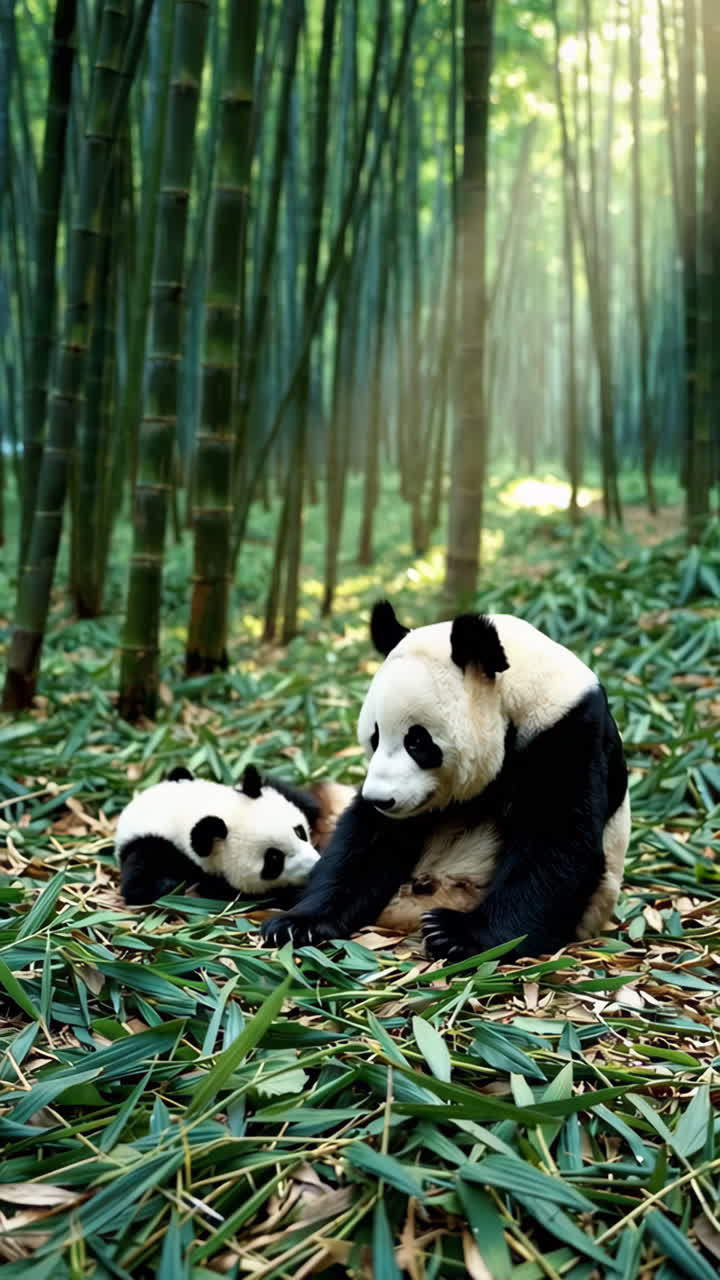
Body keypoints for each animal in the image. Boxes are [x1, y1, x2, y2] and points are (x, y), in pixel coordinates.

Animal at [262, 601, 630, 960]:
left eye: (417, 741)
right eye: (375, 737)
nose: (381, 799)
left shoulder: (569, 733)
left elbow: (556, 843)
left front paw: (457, 934)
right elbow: (366, 842)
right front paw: (298, 923)